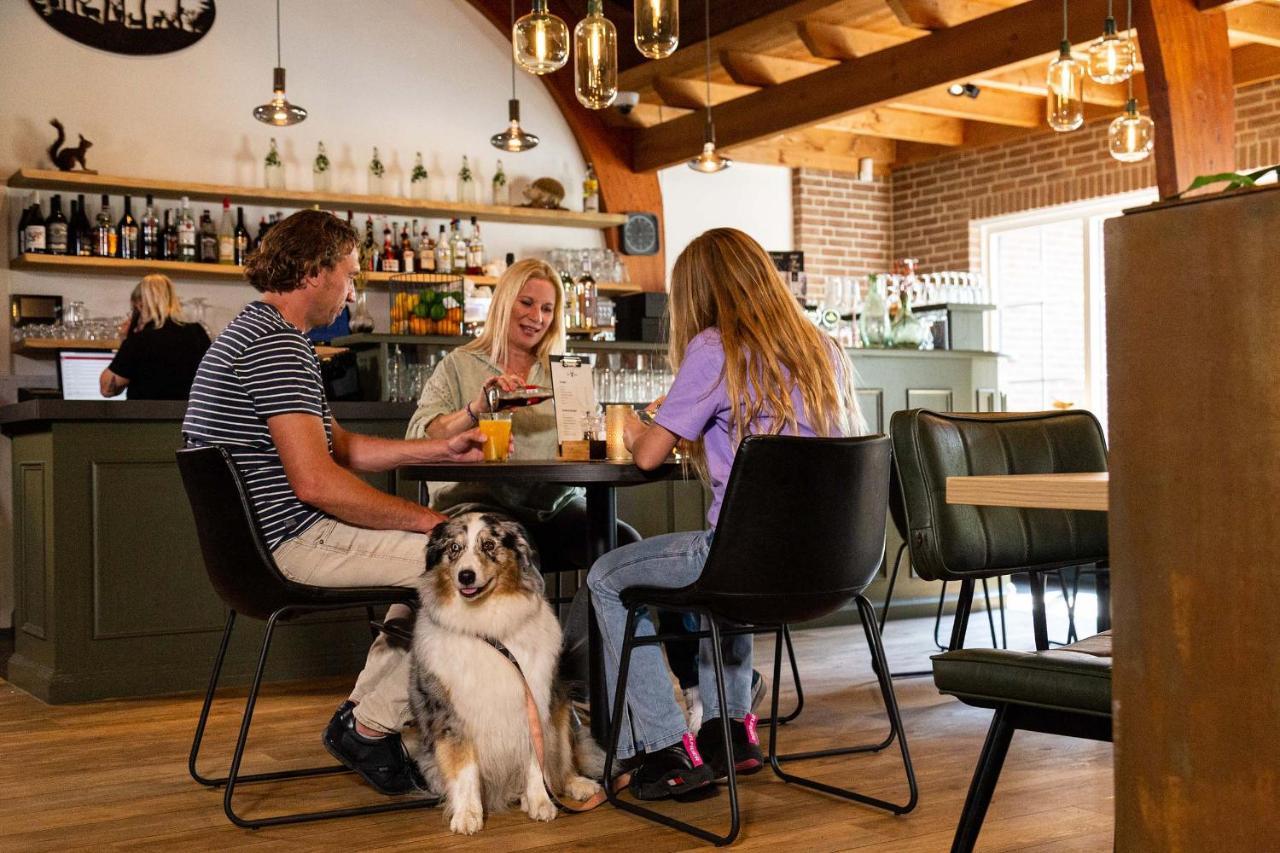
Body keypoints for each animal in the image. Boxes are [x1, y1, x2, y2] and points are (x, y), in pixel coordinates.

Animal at [412, 512, 606, 829]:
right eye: (454, 548)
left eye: (489, 545)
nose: (465, 576)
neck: (489, 627)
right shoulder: (452, 715)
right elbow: (464, 768)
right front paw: (468, 814)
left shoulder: (535, 703)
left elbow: (537, 762)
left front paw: (540, 802)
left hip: (563, 715)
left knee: (562, 765)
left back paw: (577, 785)